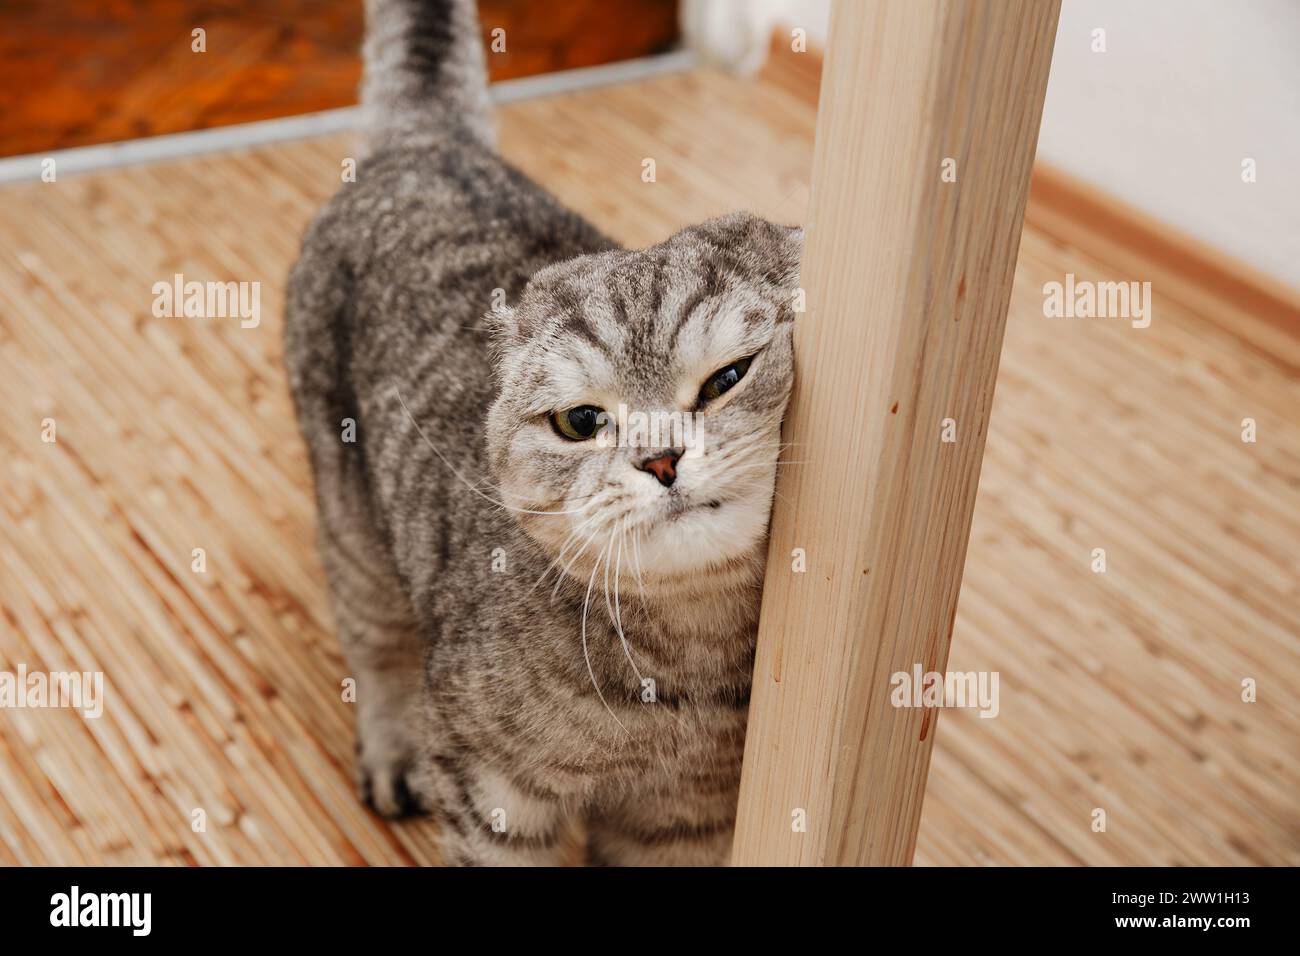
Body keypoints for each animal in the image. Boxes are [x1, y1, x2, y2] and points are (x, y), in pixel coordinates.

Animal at [284, 0, 800, 868]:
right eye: (580, 422)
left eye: (727, 378)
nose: (662, 459)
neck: (683, 665)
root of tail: (430, 144)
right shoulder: (492, 791)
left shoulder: (684, 821)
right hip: (355, 531)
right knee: (375, 650)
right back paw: (391, 751)